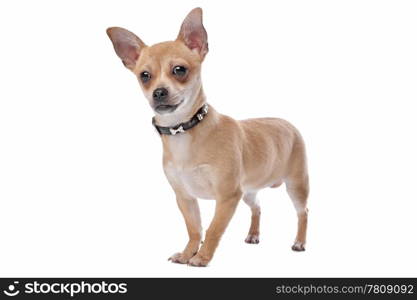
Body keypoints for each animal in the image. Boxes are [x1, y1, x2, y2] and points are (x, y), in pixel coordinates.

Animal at [107, 7, 308, 266]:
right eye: (144, 76)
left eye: (179, 70)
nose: (158, 92)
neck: (182, 131)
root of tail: (287, 123)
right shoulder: (185, 198)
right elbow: (194, 229)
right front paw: (187, 253)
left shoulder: (227, 196)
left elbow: (213, 229)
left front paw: (201, 257)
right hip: (249, 191)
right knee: (257, 207)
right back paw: (253, 234)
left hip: (296, 185)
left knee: (303, 212)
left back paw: (300, 242)